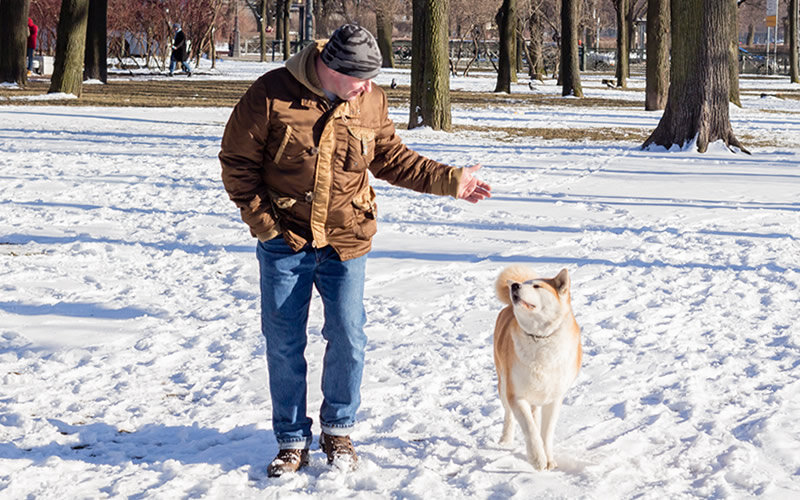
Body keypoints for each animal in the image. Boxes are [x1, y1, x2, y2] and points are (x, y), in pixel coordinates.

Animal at [494, 266, 580, 468]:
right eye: (522, 285)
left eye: (537, 286)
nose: (515, 286)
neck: (540, 338)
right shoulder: (516, 395)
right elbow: (530, 429)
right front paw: (537, 458)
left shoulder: (554, 399)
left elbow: (546, 433)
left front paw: (548, 458)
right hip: (503, 385)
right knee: (509, 415)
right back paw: (505, 439)